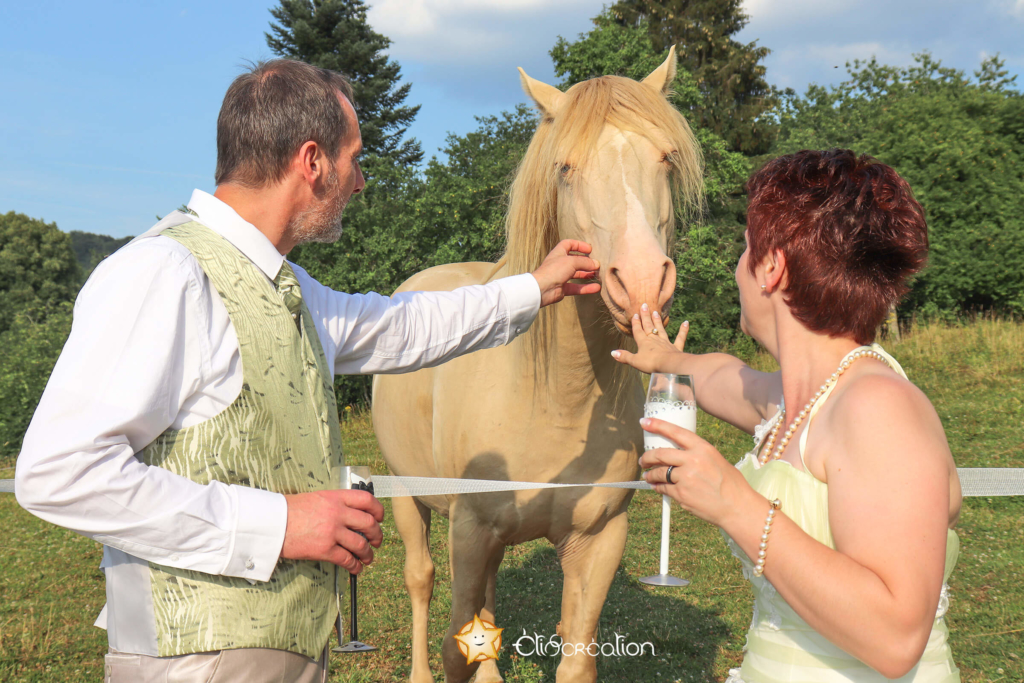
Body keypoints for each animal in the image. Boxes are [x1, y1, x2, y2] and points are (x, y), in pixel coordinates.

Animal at [374, 49, 704, 683]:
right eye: (565, 168)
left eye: (666, 158)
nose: (642, 283)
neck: (550, 394)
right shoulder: (468, 530)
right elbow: (455, 645)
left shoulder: (597, 539)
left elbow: (574, 659)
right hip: (408, 495)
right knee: (422, 580)